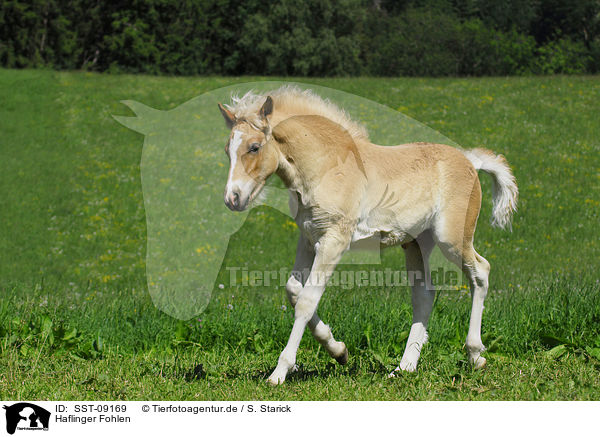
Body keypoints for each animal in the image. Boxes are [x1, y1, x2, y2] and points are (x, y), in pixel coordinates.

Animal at [218, 87, 516, 384]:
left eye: (254, 147)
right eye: (227, 150)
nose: (232, 199)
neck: (326, 165)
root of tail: (470, 161)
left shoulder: (334, 240)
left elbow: (306, 301)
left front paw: (280, 372)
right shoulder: (309, 238)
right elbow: (293, 291)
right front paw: (339, 351)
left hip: (451, 239)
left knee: (480, 272)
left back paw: (475, 355)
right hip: (416, 243)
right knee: (424, 295)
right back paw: (404, 367)